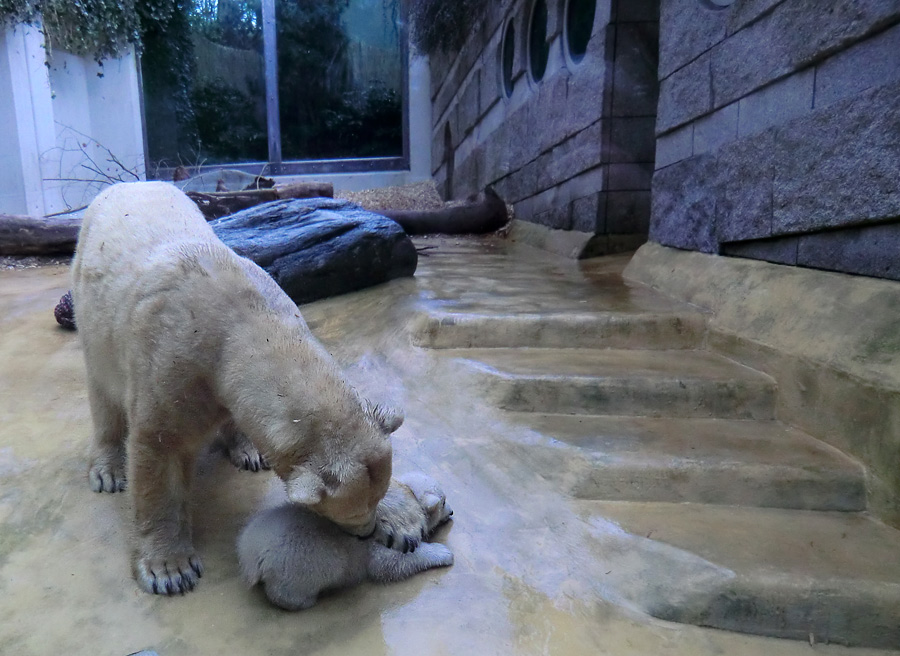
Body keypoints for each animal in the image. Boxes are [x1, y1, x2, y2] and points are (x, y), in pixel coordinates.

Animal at [72, 181, 402, 596]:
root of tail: (126, 184)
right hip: (91, 310)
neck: (238, 320)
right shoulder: (167, 363)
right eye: (354, 510)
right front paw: (170, 570)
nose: (367, 532)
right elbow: (159, 450)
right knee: (102, 392)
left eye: (378, 496)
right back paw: (109, 470)